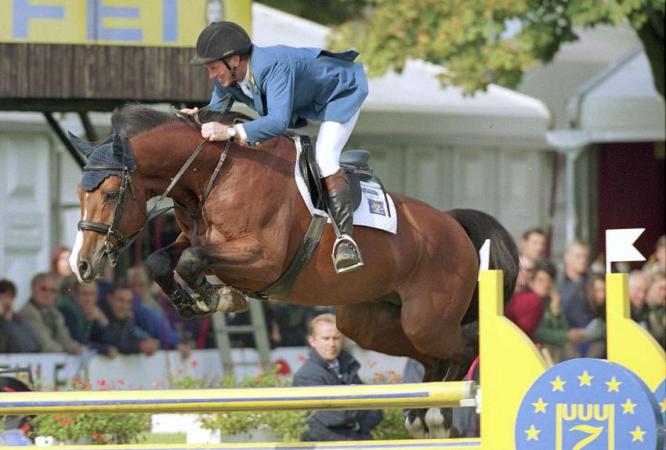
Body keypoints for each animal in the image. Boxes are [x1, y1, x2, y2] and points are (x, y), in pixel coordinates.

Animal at [68, 104, 518, 438]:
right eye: (79, 192)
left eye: (111, 193)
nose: (82, 265)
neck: (214, 173)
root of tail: (453, 224)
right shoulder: (193, 237)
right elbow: (163, 259)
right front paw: (194, 299)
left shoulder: (261, 258)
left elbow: (192, 259)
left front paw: (215, 296)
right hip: (371, 322)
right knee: (431, 357)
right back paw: (422, 415)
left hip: (426, 317)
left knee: (466, 344)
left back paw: (439, 416)